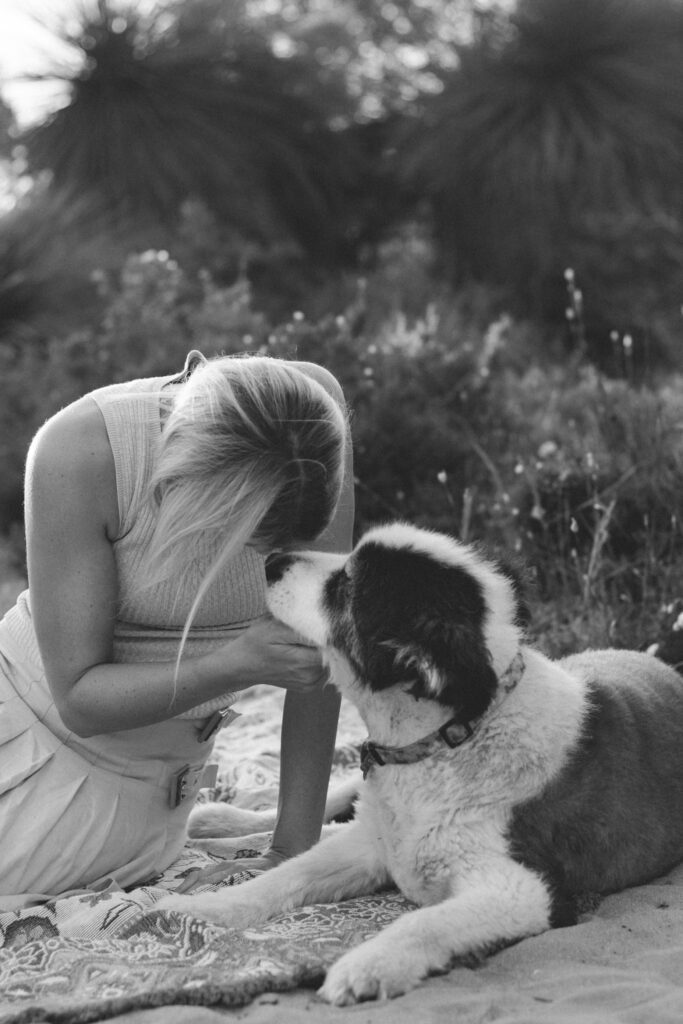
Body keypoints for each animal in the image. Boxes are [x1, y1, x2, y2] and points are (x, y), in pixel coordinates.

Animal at [158, 524, 683, 1003]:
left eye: (346, 587)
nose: (272, 561)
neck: (449, 737)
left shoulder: (523, 888)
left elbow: (423, 921)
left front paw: (367, 966)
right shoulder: (370, 843)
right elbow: (285, 874)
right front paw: (207, 907)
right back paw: (221, 819)